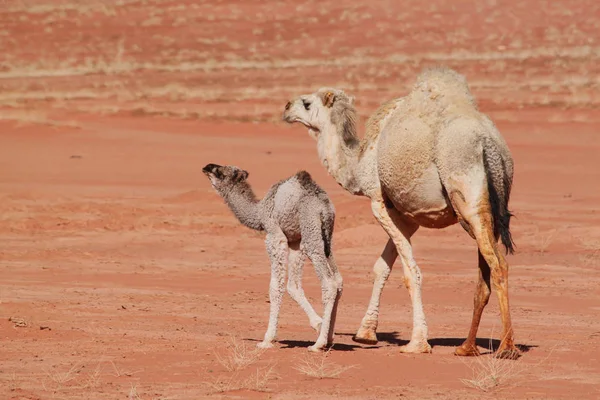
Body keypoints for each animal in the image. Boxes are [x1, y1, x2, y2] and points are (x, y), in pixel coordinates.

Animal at [203, 162, 340, 350]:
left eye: (220, 172)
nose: (207, 167)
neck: (259, 212)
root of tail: (324, 207)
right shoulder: (296, 241)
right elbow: (293, 286)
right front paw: (318, 324)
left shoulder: (275, 236)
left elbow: (275, 287)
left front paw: (267, 340)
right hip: (325, 238)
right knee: (339, 280)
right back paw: (329, 337)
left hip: (311, 229)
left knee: (329, 282)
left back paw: (318, 344)